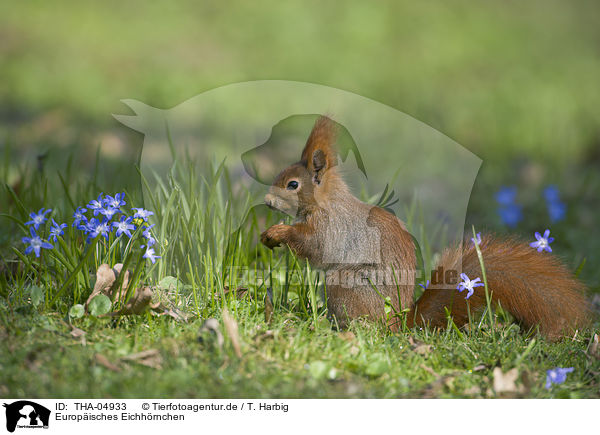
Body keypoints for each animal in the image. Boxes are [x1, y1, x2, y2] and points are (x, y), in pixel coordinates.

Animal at [260, 115, 592, 340]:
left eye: (292, 184)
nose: (266, 201)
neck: (326, 200)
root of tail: (400, 323)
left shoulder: (333, 226)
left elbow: (315, 246)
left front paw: (278, 233)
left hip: (346, 285)